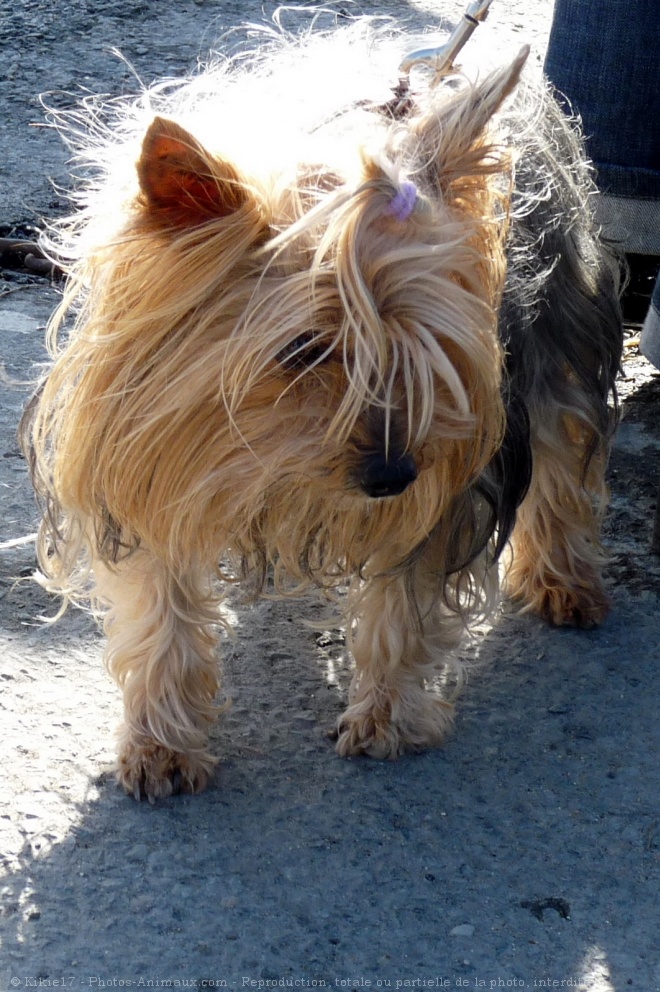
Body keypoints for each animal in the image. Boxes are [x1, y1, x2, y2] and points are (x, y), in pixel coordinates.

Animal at [19, 15, 620, 800]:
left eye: (429, 351)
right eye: (303, 351)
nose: (392, 477)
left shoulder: (447, 475)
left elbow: (407, 592)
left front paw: (386, 713)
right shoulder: (146, 447)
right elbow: (159, 606)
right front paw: (160, 741)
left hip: (556, 331)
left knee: (564, 447)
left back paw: (563, 579)